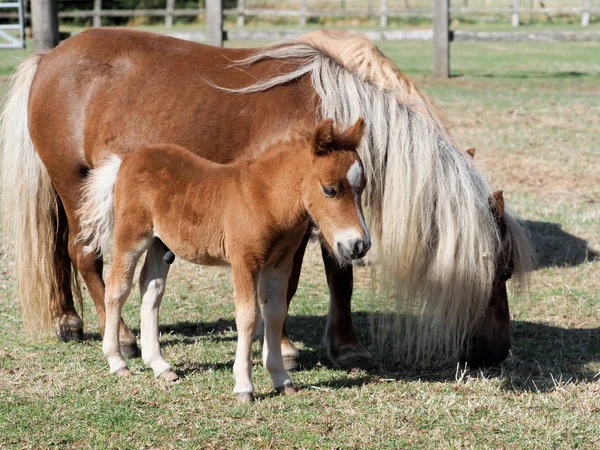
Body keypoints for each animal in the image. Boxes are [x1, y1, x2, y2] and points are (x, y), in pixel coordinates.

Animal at [2, 26, 532, 368]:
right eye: (498, 270)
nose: (497, 352)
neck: (324, 114)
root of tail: (47, 58)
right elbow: (289, 283)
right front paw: (285, 348)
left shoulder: (334, 212)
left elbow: (340, 275)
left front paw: (346, 346)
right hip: (75, 182)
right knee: (85, 255)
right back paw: (125, 340)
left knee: (63, 252)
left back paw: (70, 321)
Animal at [79, 118, 370, 400]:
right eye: (329, 190)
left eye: (362, 187)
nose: (360, 245)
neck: (265, 198)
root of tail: (126, 160)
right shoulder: (245, 260)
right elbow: (248, 316)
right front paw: (244, 386)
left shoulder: (279, 264)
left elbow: (275, 312)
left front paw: (282, 379)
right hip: (132, 236)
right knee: (117, 288)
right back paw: (117, 361)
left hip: (160, 243)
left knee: (151, 289)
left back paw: (161, 366)